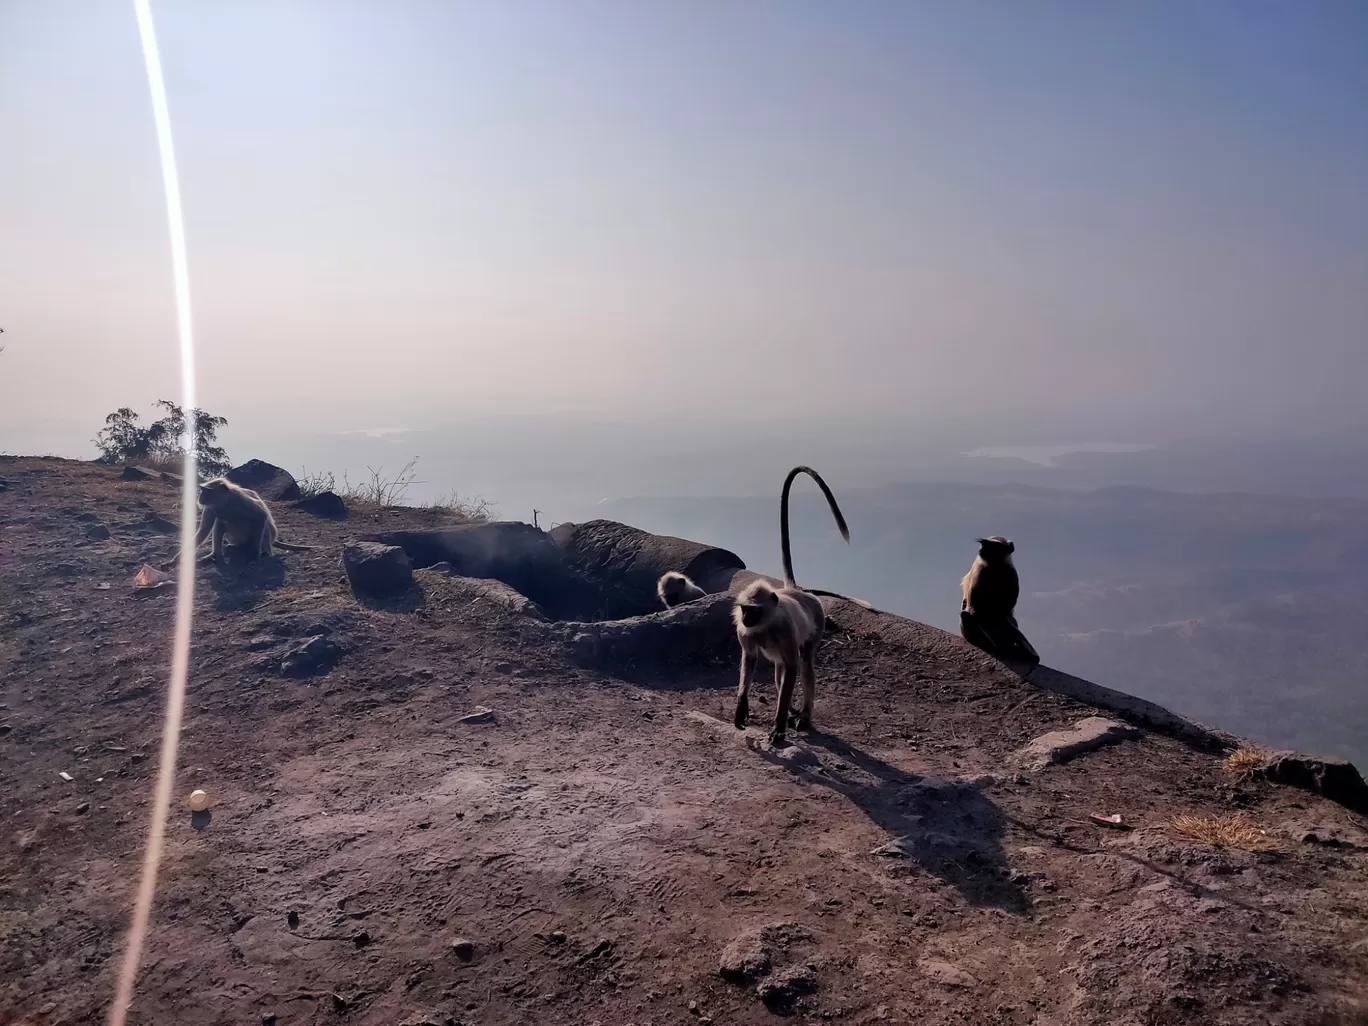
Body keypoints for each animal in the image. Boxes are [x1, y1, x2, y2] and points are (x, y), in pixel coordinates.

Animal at [733, 465, 848, 749]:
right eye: (744, 610)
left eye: (753, 610)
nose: (746, 619)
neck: (765, 624)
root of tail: (796, 590)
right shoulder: (744, 633)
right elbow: (749, 659)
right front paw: (742, 708)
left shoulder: (784, 629)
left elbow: (794, 668)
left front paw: (779, 728)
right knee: (780, 671)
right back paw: (793, 711)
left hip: (817, 622)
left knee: (803, 662)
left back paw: (803, 715)